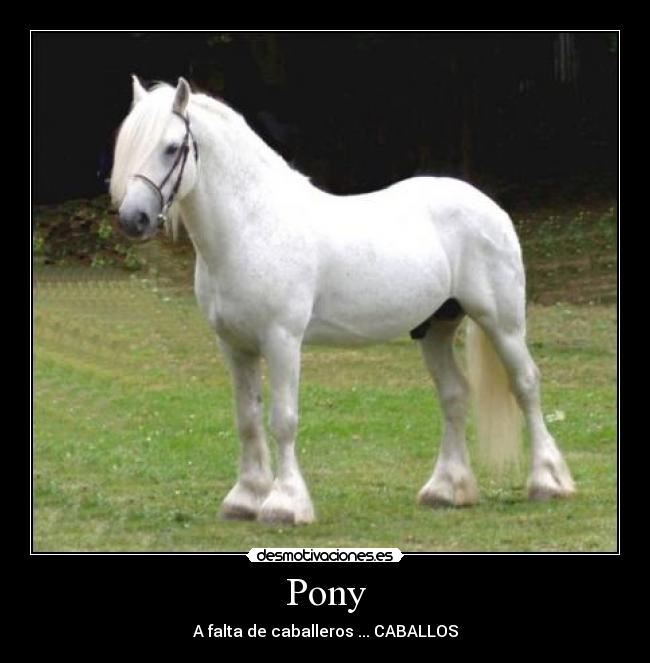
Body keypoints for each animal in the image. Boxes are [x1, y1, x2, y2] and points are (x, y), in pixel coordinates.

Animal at [109, 76, 575, 524]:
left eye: (172, 147)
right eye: (127, 147)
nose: (134, 219)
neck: (253, 226)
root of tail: (489, 206)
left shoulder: (282, 340)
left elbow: (283, 420)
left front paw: (284, 505)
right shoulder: (234, 345)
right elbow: (247, 420)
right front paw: (244, 499)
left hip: (502, 323)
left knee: (526, 385)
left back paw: (548, 482)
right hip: (436, 328)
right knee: (455, 395)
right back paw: (445, 490)